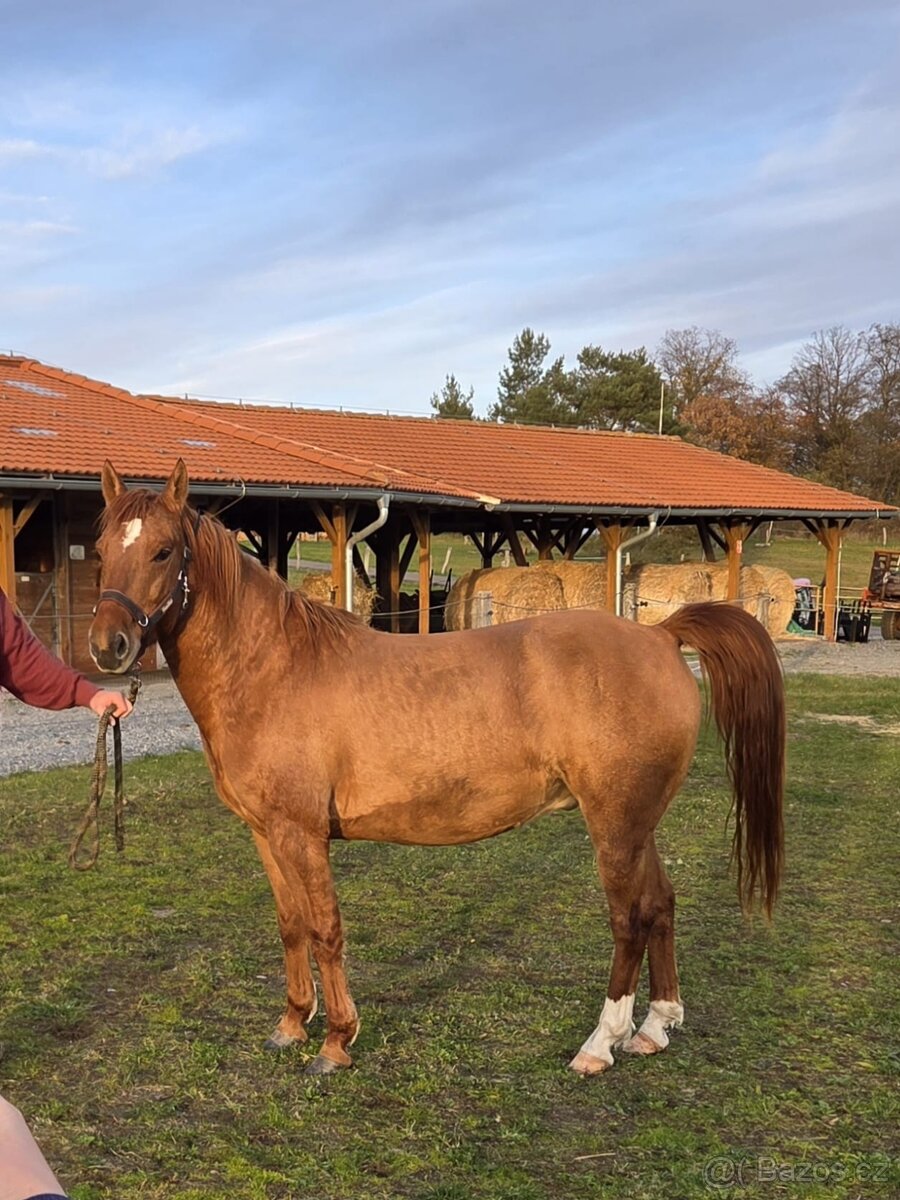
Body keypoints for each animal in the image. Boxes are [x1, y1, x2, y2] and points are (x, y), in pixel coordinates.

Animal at [89, 460, 785, 1076]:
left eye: (162, 552)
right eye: (99, 549)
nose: (108, 645)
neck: (274, 667)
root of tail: (660, 636)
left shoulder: (303, 834)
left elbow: (325, 928)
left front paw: (336, 1041)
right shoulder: (267, 833)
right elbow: (290, 926)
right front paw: (291, 1023)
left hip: (614, 826)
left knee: (629, 921)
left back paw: (599, 1044)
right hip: (639, 824)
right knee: (662, 904)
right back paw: (655, 1028)